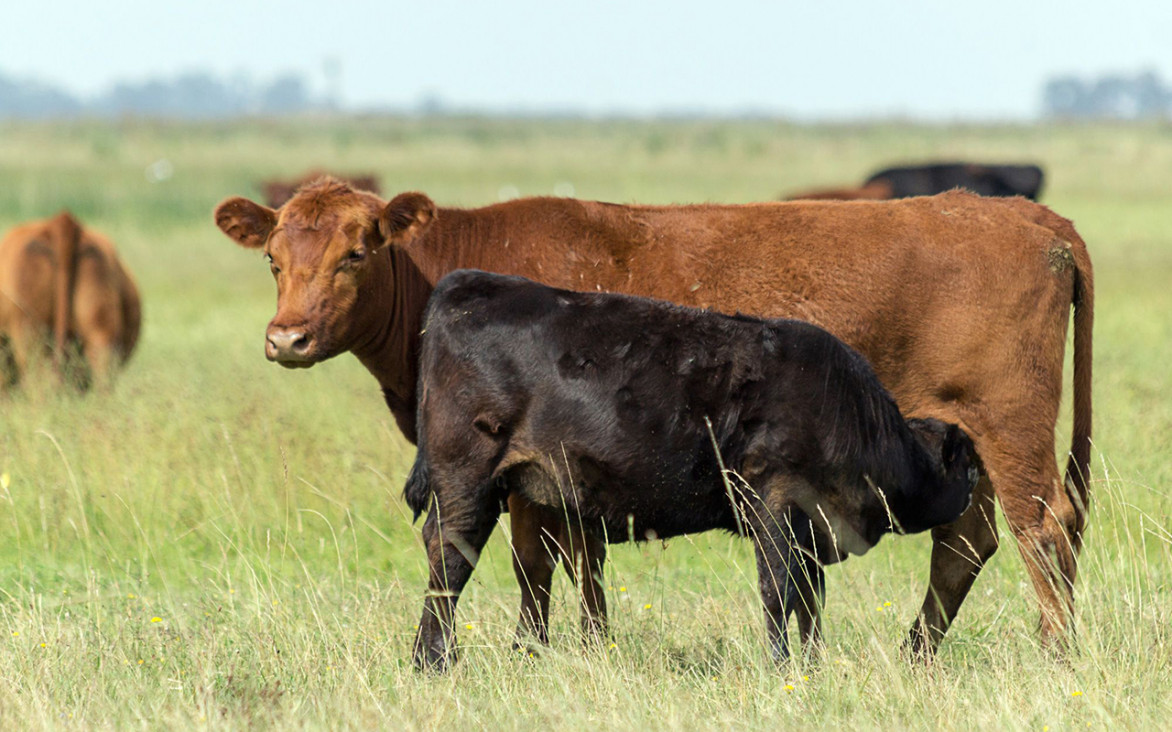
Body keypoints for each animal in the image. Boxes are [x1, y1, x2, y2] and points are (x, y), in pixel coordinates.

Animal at [403, 271, 979, 669]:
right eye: (971, 467)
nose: (978, 487)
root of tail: (468, 283)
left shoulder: (812, 530)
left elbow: (811, 601)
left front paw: (814, 666)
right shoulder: (773, 503)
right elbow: (778, 591)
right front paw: (781, 668)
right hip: (466, 481)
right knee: (450, 557)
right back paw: (434, 660)